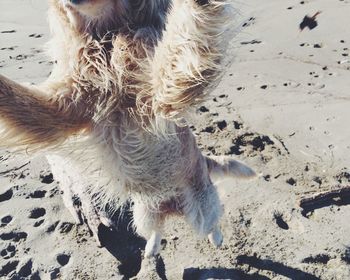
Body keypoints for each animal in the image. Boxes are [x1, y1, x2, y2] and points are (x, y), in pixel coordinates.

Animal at [0, 0, 254, 258]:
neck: (106, 37)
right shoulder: (65, 107)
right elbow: (22, 101)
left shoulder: (157, 93)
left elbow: (180, 43)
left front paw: (197, 4)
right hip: (145, 212)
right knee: (157, 229)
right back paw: (151, 250)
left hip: (202, 205)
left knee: (212, 223)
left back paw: (217, 239)